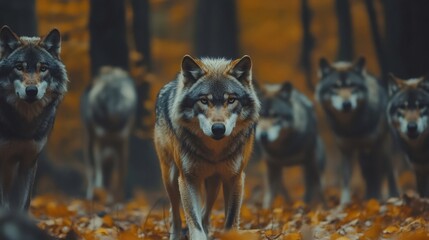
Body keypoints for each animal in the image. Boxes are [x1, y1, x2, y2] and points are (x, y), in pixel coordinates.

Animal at [0, 25, 67, 211]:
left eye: (43, 68)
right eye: (19, 67)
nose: (31, 91)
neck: (24, 126)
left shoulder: (28, 162)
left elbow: (23, 205)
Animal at [81, 66, 137, 202]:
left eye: (121, 96)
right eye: (105, 97)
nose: (116, 112)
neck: (111, 128)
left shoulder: (122, 144)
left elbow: (121, 176)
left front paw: (119, 198)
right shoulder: (99, 143)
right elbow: (99, 174)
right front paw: (100, 194)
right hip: (90, 146)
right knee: (92, 172)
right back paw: (92, 195)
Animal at [154, 54, 260, 240]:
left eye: (231, 100)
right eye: (204, 100)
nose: (218, 128)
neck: (214, 151)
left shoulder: (235, 178)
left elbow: (230, 221)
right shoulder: (188, 179)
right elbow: (194, 224)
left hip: (213, 184)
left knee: (205, 212)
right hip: (171, 178)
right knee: (175, 213)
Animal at [314, 57, 398, 203]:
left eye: (352, 86)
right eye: (335, 87)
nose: (347, 104)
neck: (353, 128)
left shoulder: (376, 146)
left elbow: (378, 175)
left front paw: (377, 200)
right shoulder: (346, 150)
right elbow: (346, 180)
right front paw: (345, 203)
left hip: (383, 148)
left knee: (388, 172)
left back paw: (391, 196)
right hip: (363, 155)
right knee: (368, 174)